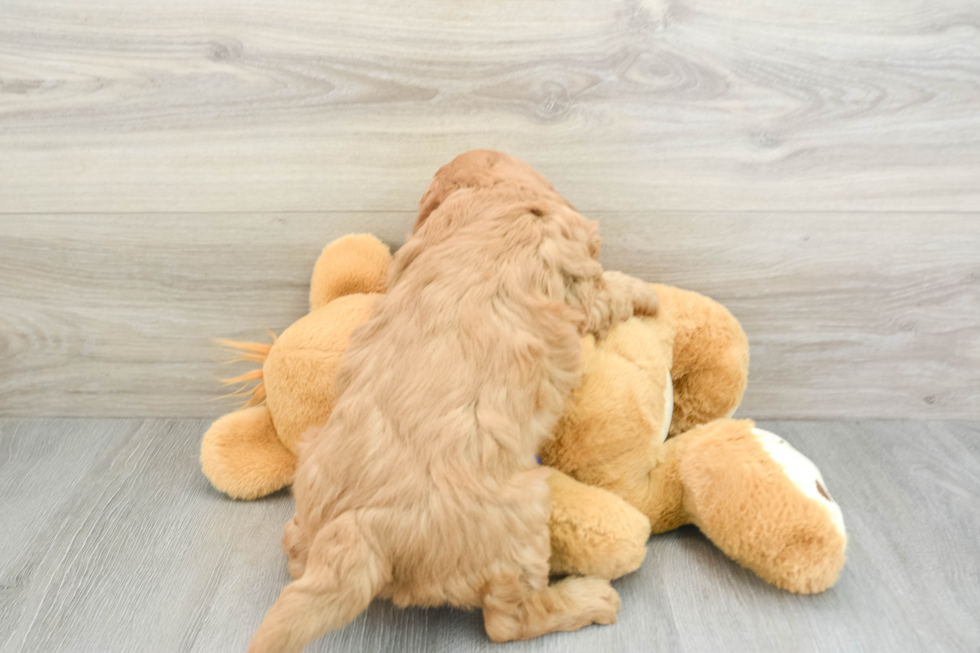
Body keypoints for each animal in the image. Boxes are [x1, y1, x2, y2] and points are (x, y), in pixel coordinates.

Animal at [247, 150, 660, 648]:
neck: (490, 201)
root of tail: (360, 525)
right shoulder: (579, 285)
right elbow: (611, 288)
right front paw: (649, 294)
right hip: (521, 516)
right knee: (507, 621)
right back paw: (589, 598)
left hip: (312, 461)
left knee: (295, 548)